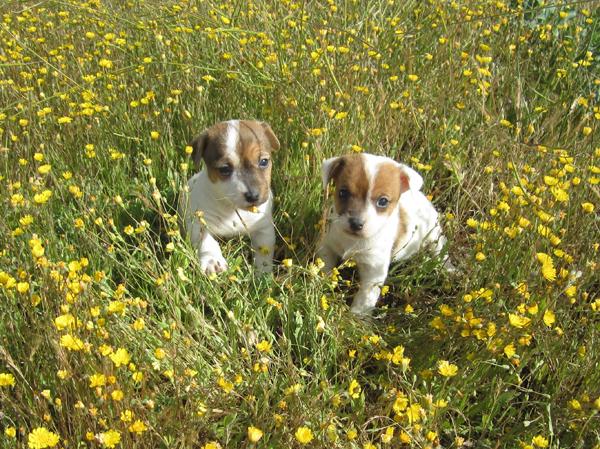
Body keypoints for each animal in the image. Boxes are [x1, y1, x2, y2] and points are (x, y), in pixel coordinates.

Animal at [179, 119, 280, 272]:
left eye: (264, 161)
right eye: (224, 169)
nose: (253, 196)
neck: (232, 209)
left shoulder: (264, 227)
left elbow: (264, 250)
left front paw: (263, 272)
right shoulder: (198, 223)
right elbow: (206, 241)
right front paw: (212, 261)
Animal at [318, 152, 450, 314]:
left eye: (383, 201)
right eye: (343, 192)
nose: (355, 223)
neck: (353, 241)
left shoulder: (374, 271)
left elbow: (364, 299)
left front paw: (356, 317)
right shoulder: (327, 246)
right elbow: (325, 267)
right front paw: (323, 285)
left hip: (434, 237)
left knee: (441, 253)